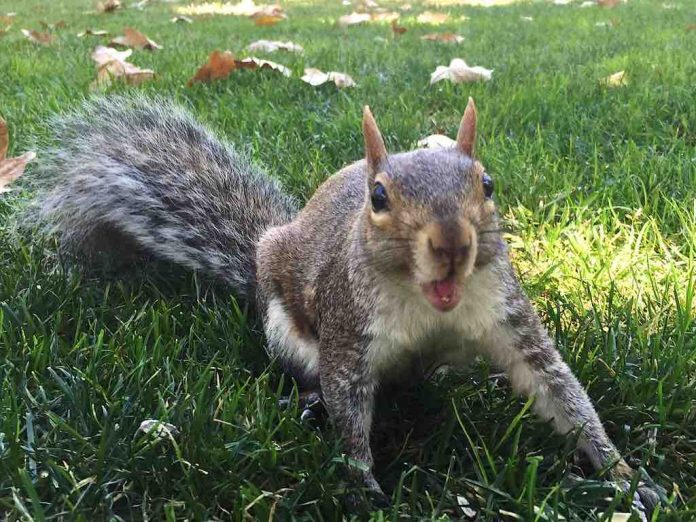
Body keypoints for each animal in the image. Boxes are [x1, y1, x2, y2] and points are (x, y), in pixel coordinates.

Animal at [31, 95, 662, 513]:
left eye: (487, 185)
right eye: (378, 198)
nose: (452, 245)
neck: (428, 306)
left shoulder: (507, 316)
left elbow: (559, 390)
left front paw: (627, 475)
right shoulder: (347, 334)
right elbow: (349, 406)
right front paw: (364, 487)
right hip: (287, 330)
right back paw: (310, 403)